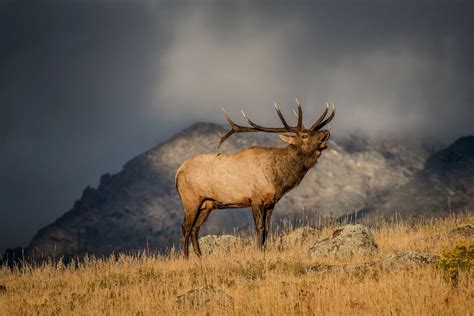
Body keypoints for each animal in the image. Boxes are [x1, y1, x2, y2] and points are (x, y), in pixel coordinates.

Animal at [176, 99, 336, 256]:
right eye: (304, 135)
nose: (325, 131)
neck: (278, 179)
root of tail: (178, 172)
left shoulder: (271, 202)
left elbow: (267, 228)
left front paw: (264, 251)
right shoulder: (255, 198)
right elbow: (259, 227)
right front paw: (258, 252)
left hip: (207, 204)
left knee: (195, 228)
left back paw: (200, 257)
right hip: (190, 199)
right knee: (186, 227)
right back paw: (186, 257)